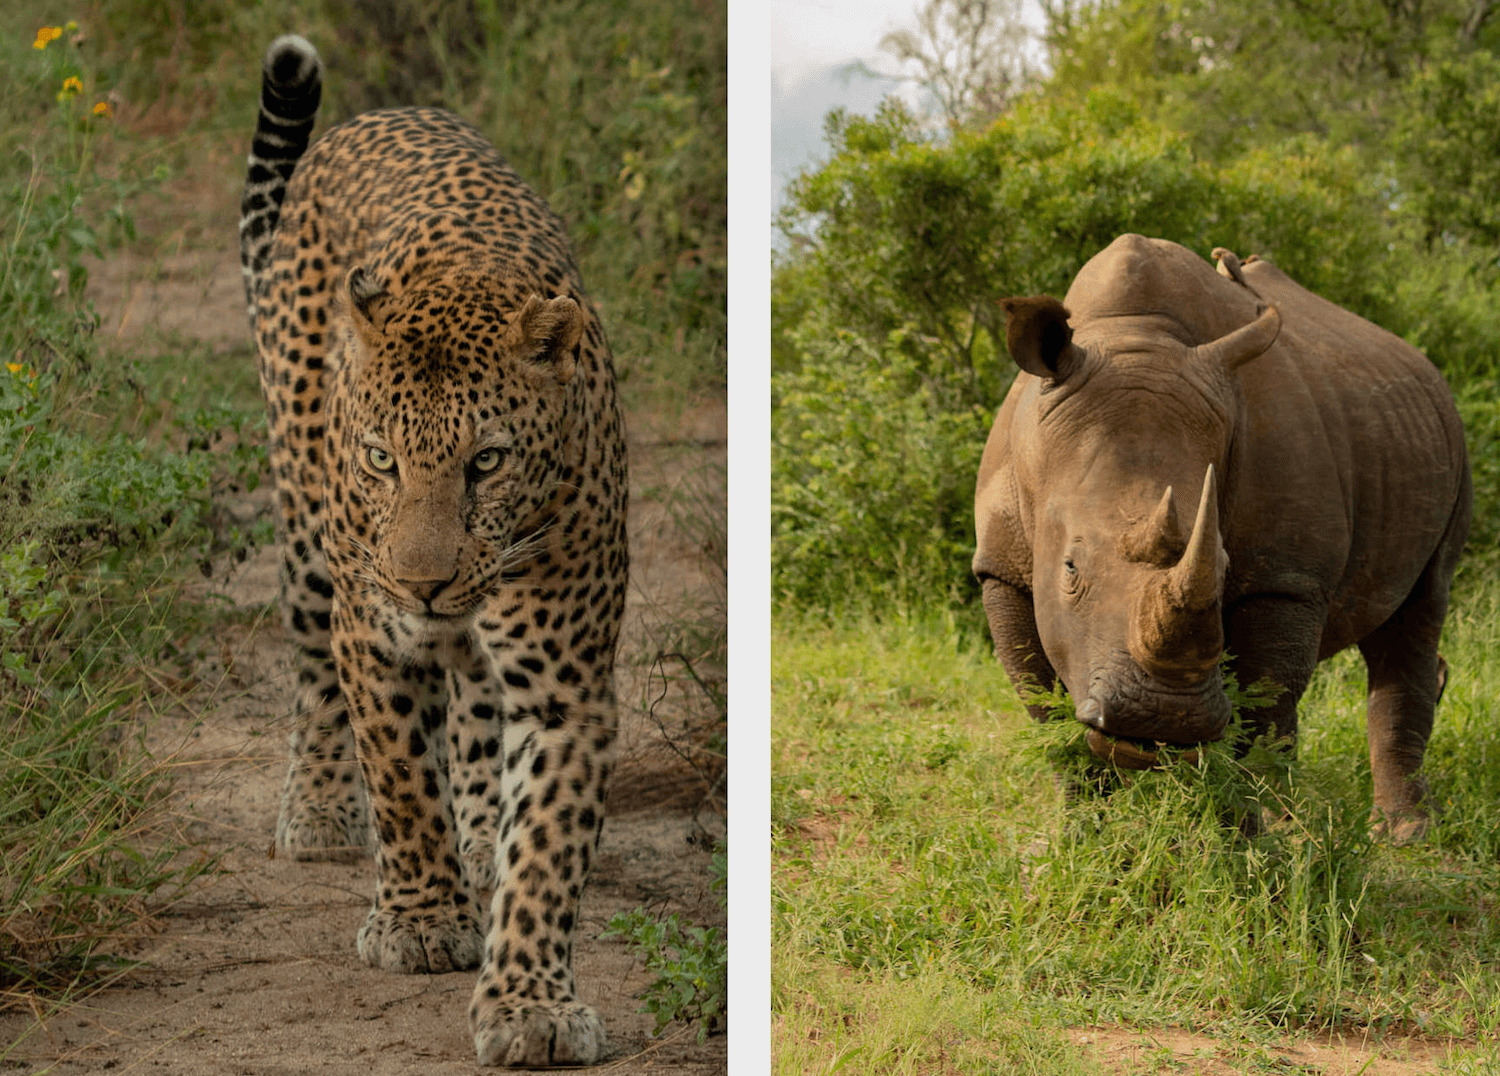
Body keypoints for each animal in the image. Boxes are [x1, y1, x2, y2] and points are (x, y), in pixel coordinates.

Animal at [238, 35, 628, 1067]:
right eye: (382, 458)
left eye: (485, 462)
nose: (421, 582)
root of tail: (378, 115)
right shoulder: (375, 641)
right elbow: (403, 782)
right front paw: (418, 923)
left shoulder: (568, 688)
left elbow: (546, 854)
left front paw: (529, 1004)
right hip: (308, 540)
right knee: (315, 682)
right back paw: (320, 814)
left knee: (476, 711)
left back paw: (482, 830)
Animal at [973, 234, 1471, 837]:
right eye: (1069, 569)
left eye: (1226, 567)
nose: (1162, 716)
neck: (1135, 334)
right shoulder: (1002, 568)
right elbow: (1044, 707)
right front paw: (1083, 834)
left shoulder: (1285, 577)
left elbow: (1263, 710)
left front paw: (1251, 838)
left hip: (1451, 441)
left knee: (1422, 604)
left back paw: (1401, 835)